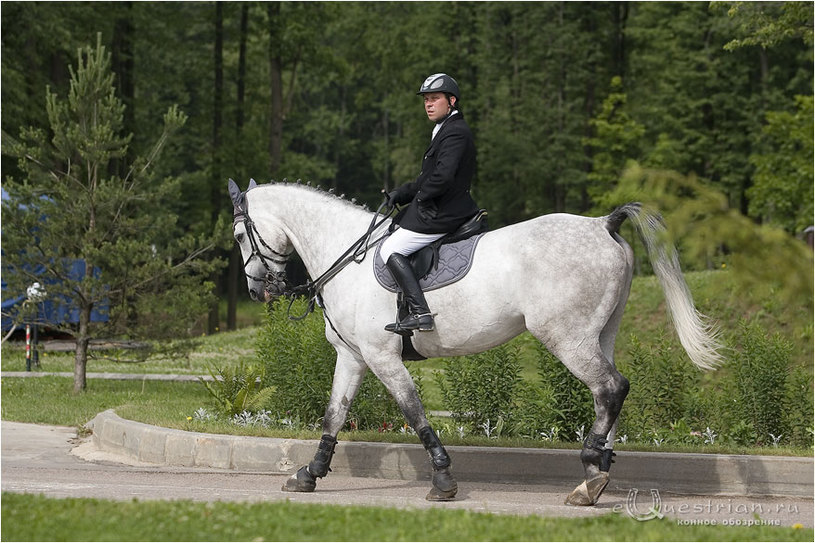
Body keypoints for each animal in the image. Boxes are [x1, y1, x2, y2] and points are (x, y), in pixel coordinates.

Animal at [228, 178, 720, 506]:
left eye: (237, 235)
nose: (256, 291)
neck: (351, 258)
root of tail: (604, 223)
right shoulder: (353, 356)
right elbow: (334, 415)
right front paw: (309, 475)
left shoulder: (381, 355)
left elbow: (413, 411)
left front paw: (443, 481)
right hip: (602, 333)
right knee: (611, 393)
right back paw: (596, 474)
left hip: (568, 337)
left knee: (610, 387)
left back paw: (589, 476)